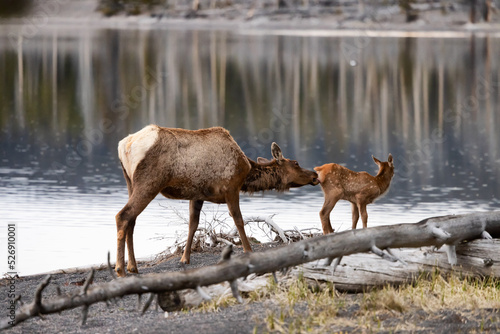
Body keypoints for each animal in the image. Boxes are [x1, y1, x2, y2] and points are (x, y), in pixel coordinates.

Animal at [115, 125, 318, 276]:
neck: (247, 171)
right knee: (123, 216)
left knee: (132, 220)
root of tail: (125, 145)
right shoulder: (231, 188)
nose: (315, 174)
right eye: (296, 163)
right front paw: (248, 251)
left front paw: (185, 259)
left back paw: (133, 266)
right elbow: (238, 220)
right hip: (149, 182)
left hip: (130, 182)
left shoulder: (196, 195)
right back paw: (120, 269)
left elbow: (193, 224)